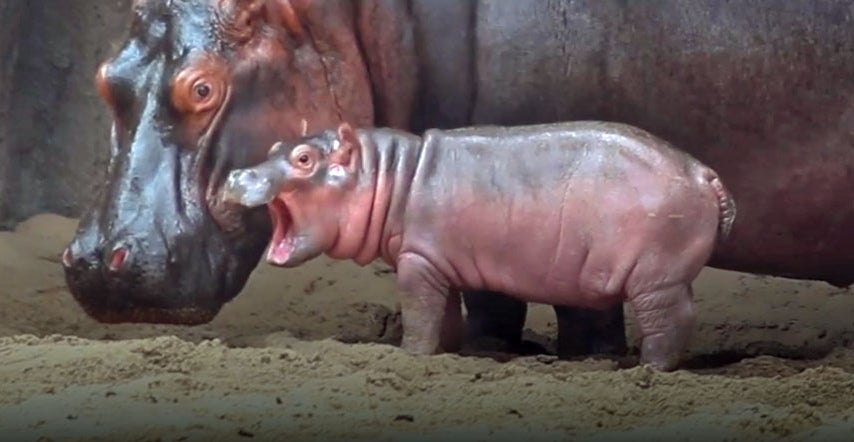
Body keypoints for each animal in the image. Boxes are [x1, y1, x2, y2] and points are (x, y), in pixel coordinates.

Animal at [219, 120, 736, 370]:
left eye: (304, 159)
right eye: (276, 146)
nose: (236, 174)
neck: (388, 173)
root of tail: (703, 172)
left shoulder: (416, 262)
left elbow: (420, 312)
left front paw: (410, 354)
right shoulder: (434, 262)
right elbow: (443, 314)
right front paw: (445, 352)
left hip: (656, 279)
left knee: (671, 320)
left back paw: (647, 369)